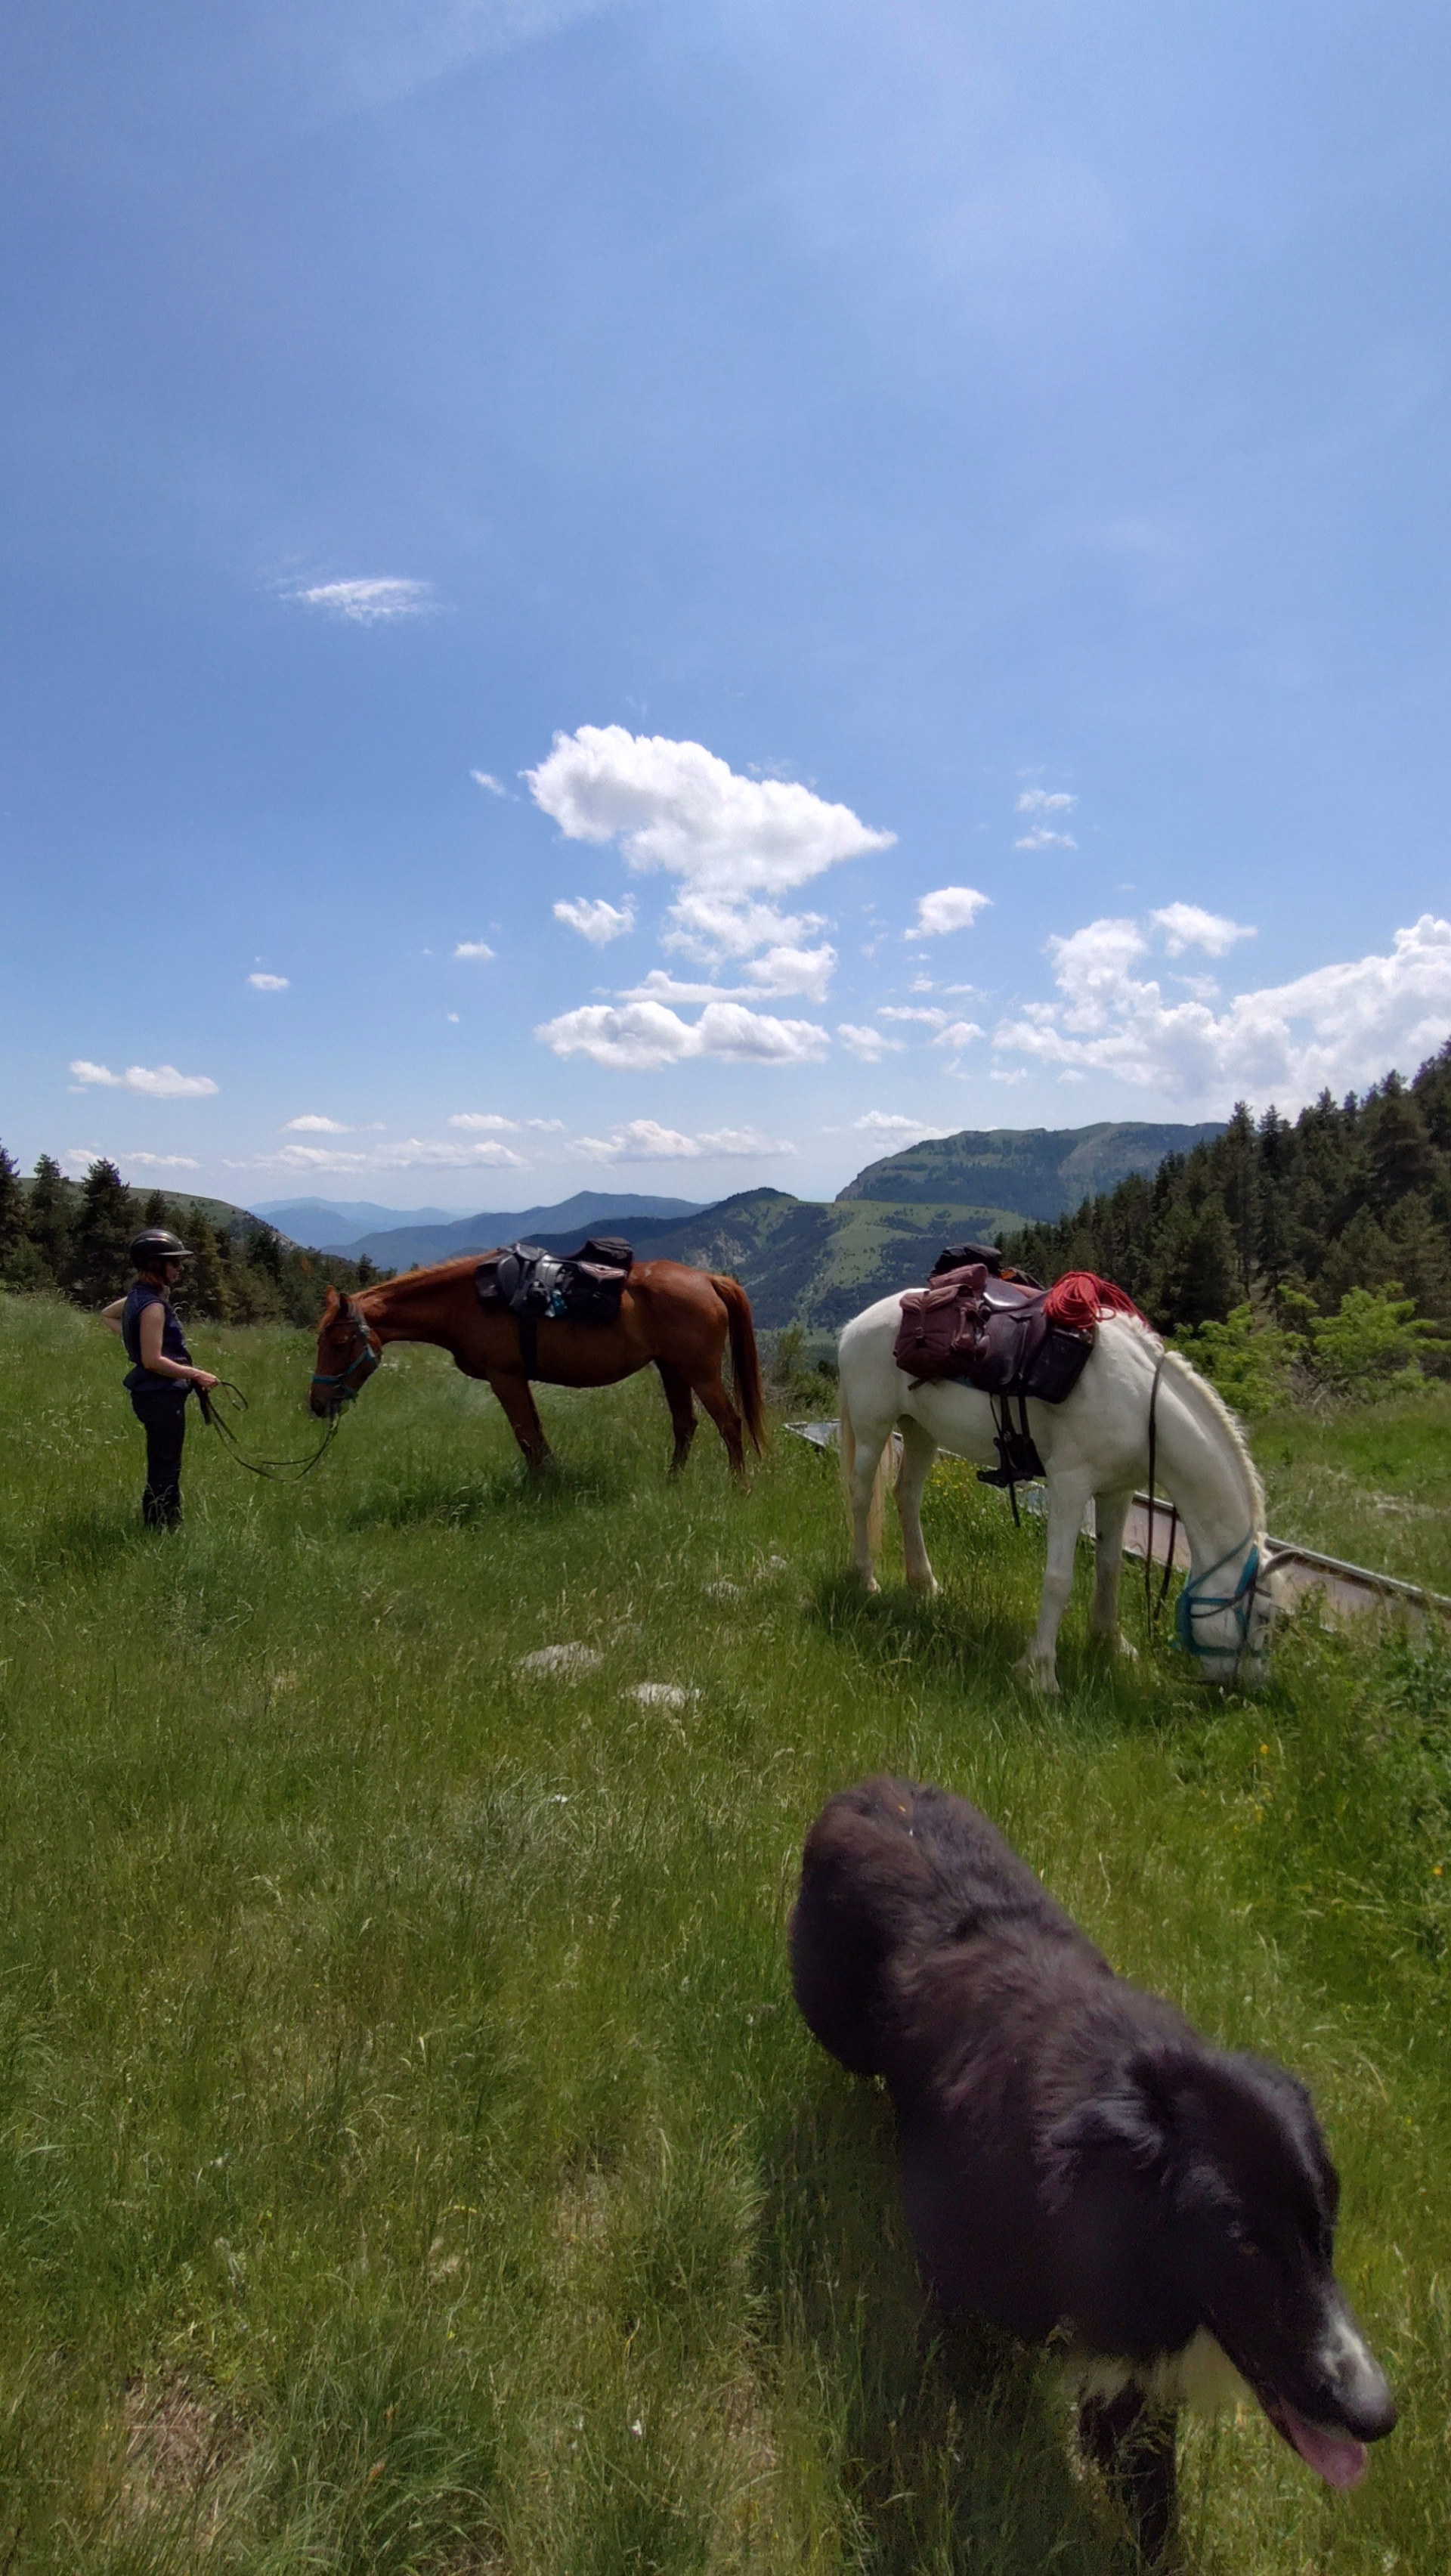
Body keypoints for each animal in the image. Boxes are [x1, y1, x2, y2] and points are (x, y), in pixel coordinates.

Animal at [309, 1255, 767, 1481]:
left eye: (338, 1344)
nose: (316, 1403)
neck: (467, 1301)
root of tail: (708, 1280)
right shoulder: (518, 1379)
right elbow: (538, 1439)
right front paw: (548, 1483)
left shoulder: (505, 1378)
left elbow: (527, 1438)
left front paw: (539, 1489)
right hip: (671, 1368)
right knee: (685, 1425)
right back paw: (673, 1483)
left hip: (700, 1372)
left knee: (730, 1423)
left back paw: (739, 1488)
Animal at [837, 1292, 1280, 1693]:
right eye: (1263, 1617)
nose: (1250, 1689)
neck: (1141, 1407)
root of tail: (853, 1327)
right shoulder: (1070, 1483)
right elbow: (1058, 1579)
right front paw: (1040, 1673)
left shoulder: (1118, 1491)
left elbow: (1109, 1565)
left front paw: (1111, 1642)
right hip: (874, 1427)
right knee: (861, 1494)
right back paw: (866, 1579)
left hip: (920, 1430)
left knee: (907, 1495)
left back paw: (924, 1584)